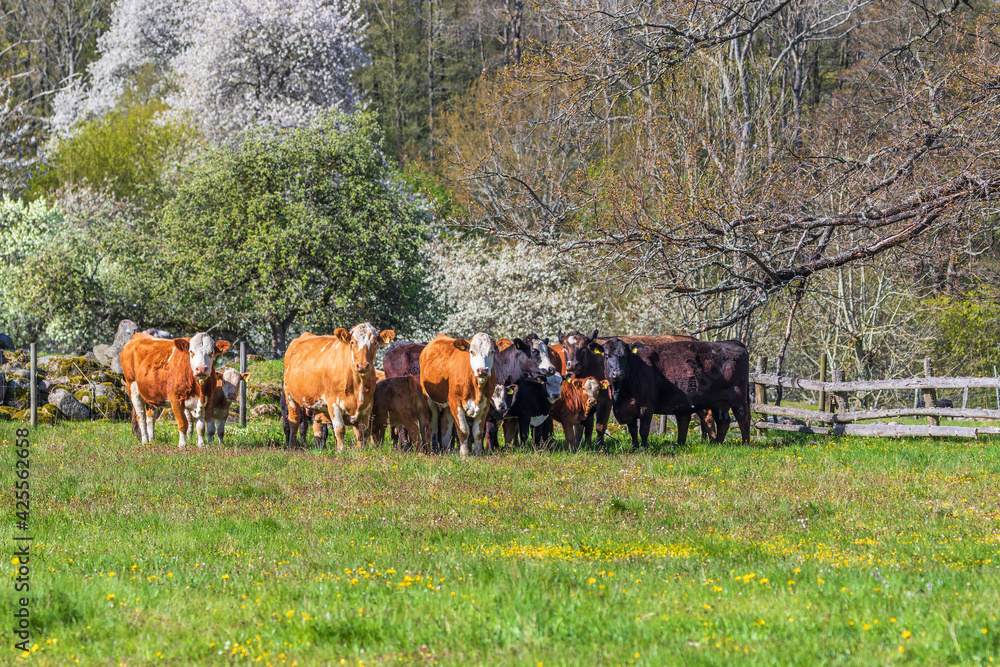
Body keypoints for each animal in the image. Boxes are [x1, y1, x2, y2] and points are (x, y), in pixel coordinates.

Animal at [284, 322, 396, 452]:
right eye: (352, 342)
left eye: (375, 343)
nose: (362, 365)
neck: (357, 385)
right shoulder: (333, 403)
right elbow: (340, 429)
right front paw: (340, 450)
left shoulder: (367, 405)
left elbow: (363, 431)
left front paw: (361, 449)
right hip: (289, 395)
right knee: (294, 421)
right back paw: (292, 446)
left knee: (317, 423)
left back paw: (319, 447)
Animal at [584, 340, 752, 448]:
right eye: (606, 355)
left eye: (625, 355)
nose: (617, 373)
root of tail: (732, 342)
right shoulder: (628, 408)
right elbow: (632, 430)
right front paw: (635, 447)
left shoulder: (647, 406)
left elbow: (643, 429)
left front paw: (644, 448)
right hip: (719, 402)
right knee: (723, 420)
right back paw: (718, 444)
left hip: (738, 396)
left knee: (743, 417)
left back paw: (745, 444)